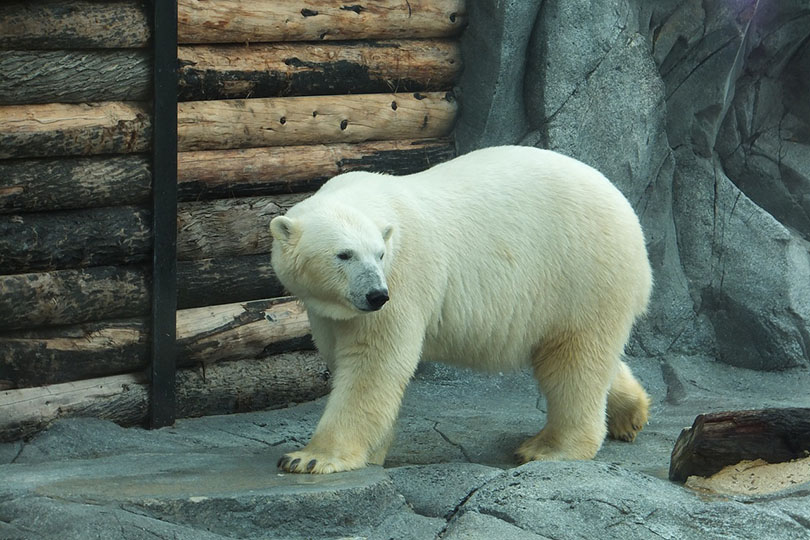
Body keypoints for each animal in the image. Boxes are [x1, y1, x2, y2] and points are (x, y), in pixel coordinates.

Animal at [270, 144, 652, 472]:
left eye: (378, 254)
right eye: (344, 255)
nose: (376, 295)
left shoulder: (405, 277)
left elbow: (373, 363)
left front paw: (310, 458)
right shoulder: (331, 308)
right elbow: (343, 354)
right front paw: (372, 451)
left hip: (581, 271)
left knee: (574, 361)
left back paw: (548, 448)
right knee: (582, 356)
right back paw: (630, 415)